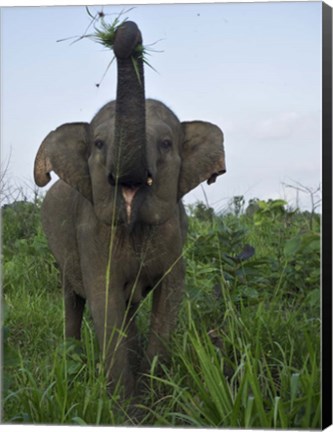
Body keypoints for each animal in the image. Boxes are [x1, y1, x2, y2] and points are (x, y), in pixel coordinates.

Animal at [33, 21, 226, 398]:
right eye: (98, 144)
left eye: (166, 144)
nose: (125, 31)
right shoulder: (91, 233)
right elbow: (104, 302)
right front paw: (125, 403)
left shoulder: (174, 233)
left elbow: (168, 296)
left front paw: (154, 396)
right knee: (72, 300)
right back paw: (72, 360)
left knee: (130, 307)